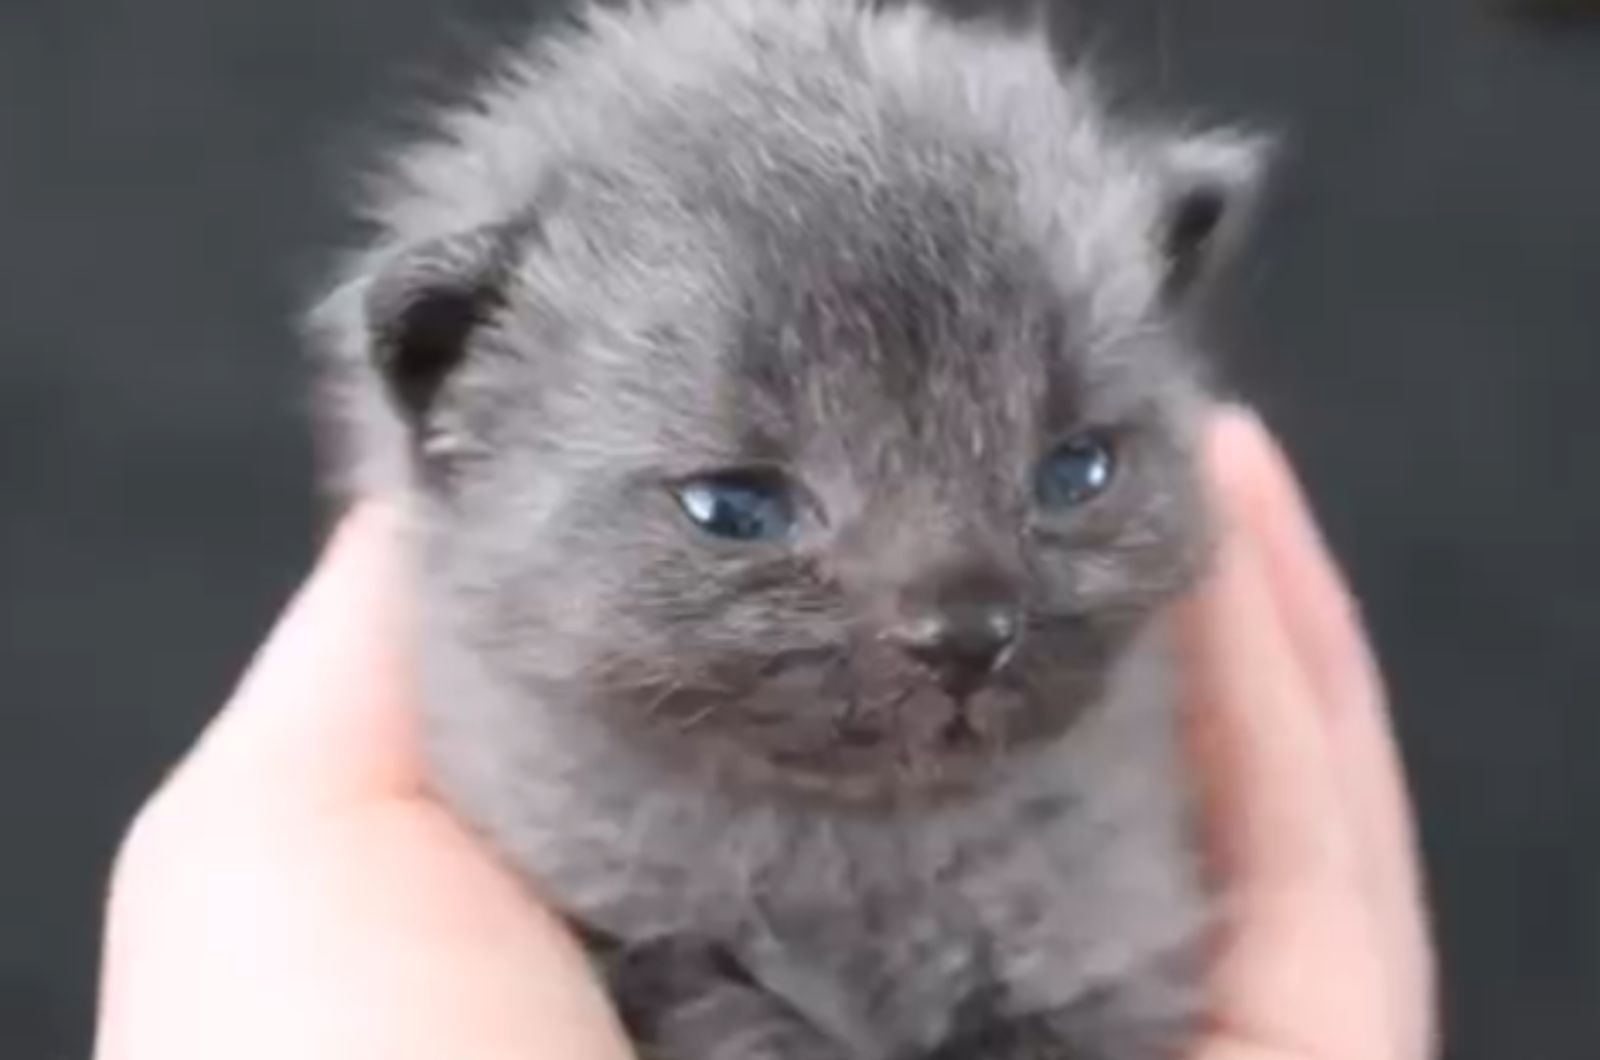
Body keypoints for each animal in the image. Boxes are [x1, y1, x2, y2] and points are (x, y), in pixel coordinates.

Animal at [305, 4, 1267, 1056]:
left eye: (1076, 470)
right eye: (736, 507)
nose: (967, 631)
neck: (864, 850)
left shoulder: (1108, 951)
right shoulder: (639, 944)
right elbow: (720, 1007)